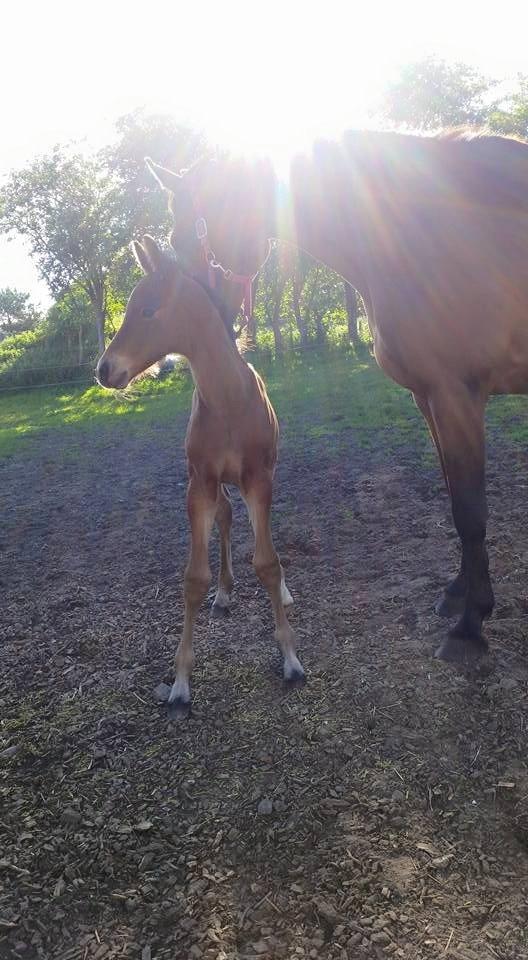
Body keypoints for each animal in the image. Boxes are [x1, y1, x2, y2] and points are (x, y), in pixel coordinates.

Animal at [97, 234, 304, 712]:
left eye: (148, 309)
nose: (104, 369)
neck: (228, 399)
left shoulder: (259, 479)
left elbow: (268, 562)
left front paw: (290, 658)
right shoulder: (200, 484)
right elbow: (194, 578)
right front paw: (180, 682)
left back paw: (281, 592)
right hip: (220, 486)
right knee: (226, 520)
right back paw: (225, 592)